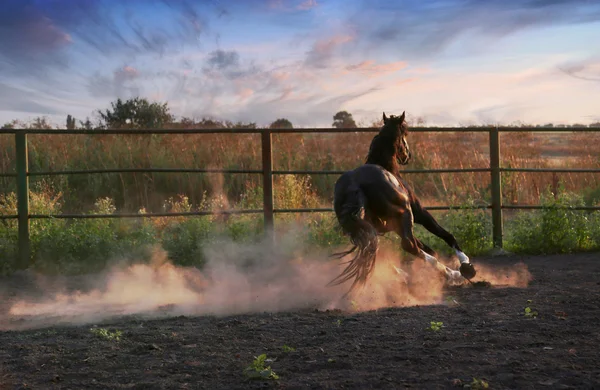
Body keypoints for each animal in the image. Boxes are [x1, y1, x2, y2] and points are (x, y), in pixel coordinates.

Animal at [328, 111, 478, 294]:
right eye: (405, 133)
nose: (407, 156)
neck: (388, 168)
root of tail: (355, 184)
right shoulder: (419, 213)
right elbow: (445, 235)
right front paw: (466, 266)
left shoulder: (393, 226)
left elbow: (428, 248)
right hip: (406, 214)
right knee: (409, 245)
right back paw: (451, 273)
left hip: (365, 230)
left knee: (383, 249)